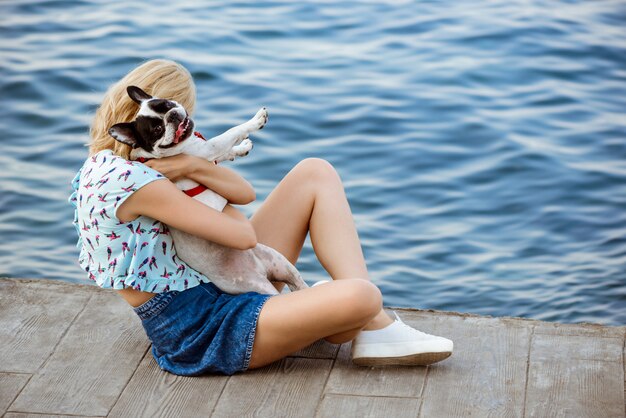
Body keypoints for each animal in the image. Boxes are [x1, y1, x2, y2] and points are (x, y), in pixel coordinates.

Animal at [108, 84, 308, 294]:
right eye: (157, 129)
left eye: (167, 105)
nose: (172, 115)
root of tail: (261, 272)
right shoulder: (206, 150)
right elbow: (231, 133)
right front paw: (255, 121)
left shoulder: (206, 154)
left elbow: (225, 153)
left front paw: (241, 148)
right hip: (257, 285)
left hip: (279, 261)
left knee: (298, 284)